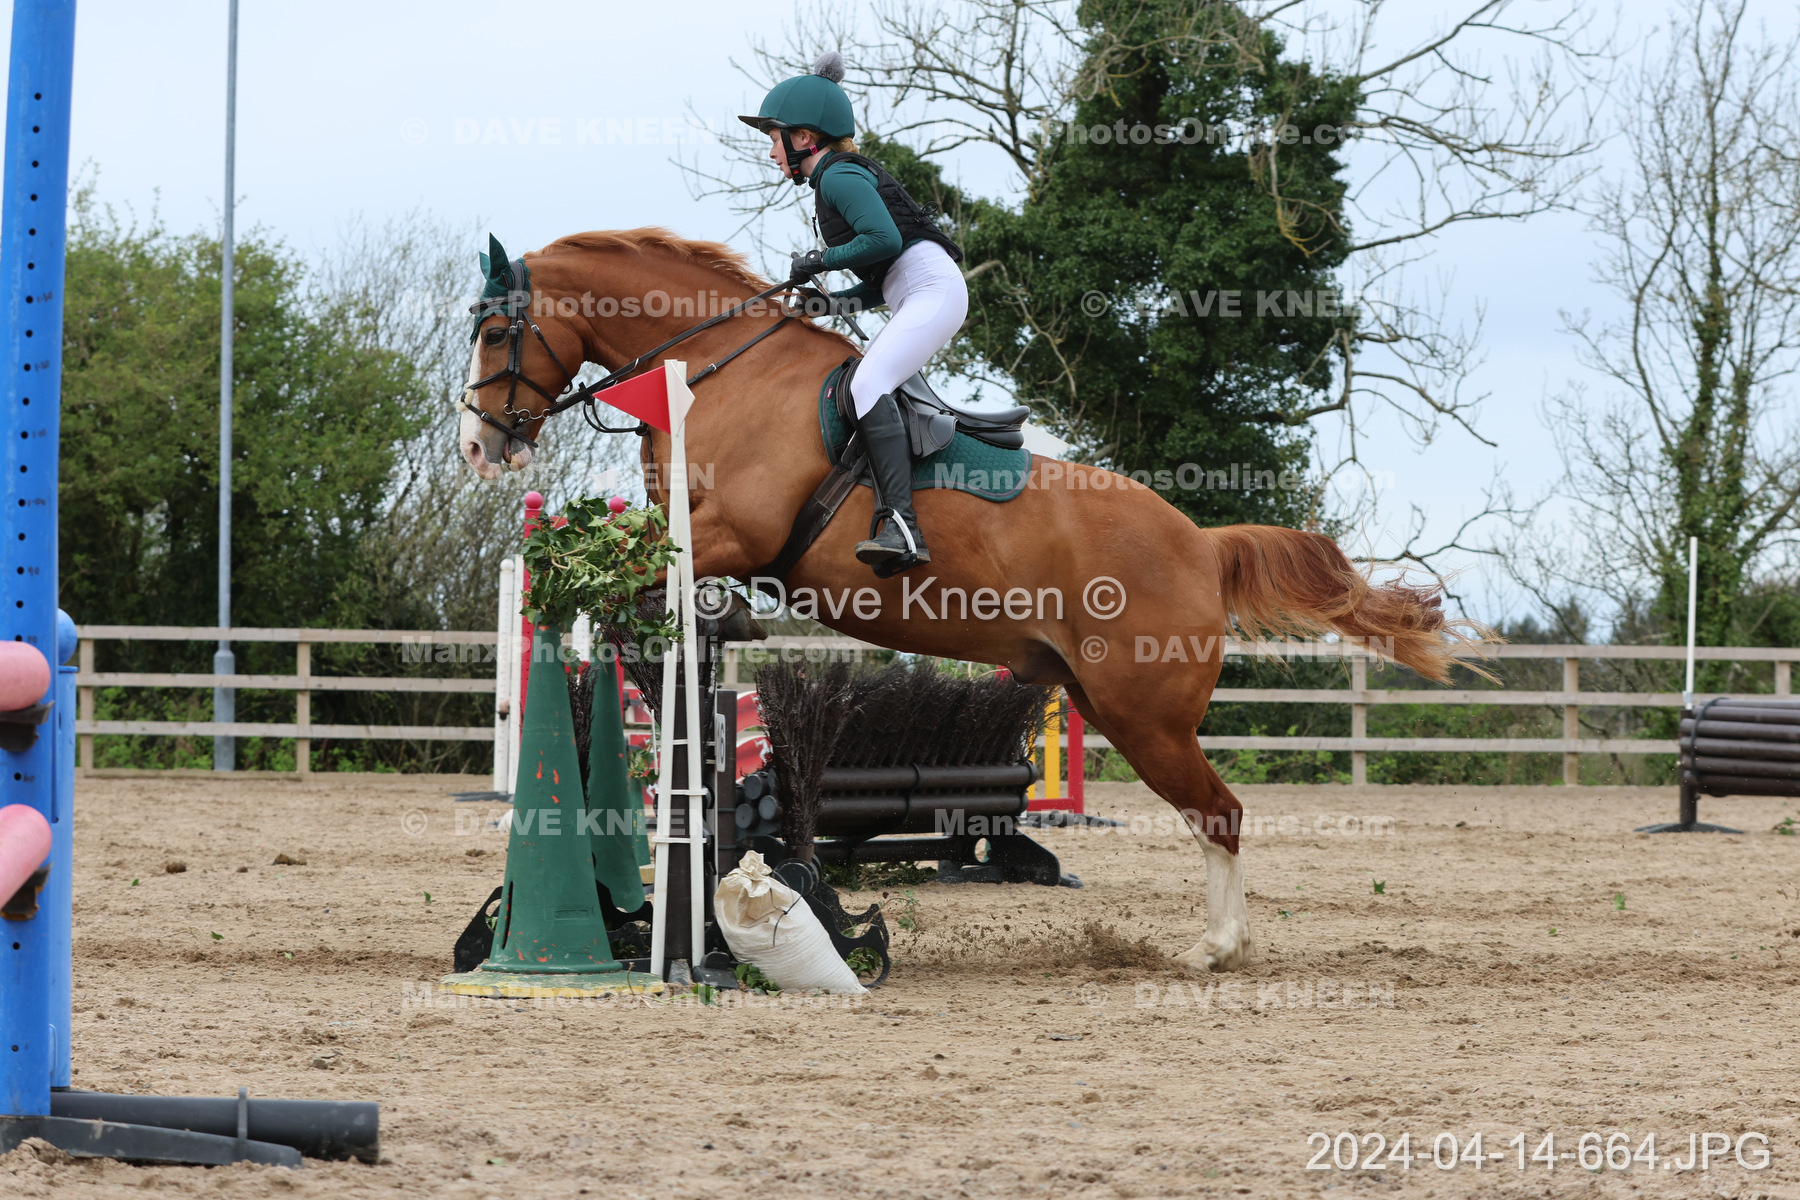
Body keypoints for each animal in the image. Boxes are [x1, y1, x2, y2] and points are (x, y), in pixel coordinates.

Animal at [459, 228, 1474, 972]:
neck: (718, 366)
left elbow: (628, 576)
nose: (478, 444)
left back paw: (1214, 950)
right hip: (1108, 700)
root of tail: (1200, 542)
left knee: (1219, 813)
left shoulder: (730, 536)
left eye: (497, 332)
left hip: (1147, 718)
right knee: (1212, 812)